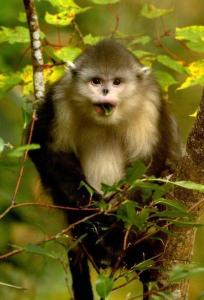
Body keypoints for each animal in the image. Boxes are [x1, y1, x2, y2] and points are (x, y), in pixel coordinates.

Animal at [28, 39, 180, 300]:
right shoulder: (59, 98)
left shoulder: (151, 104)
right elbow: (44, 149)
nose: (105, 92)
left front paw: (114, 233)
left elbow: (150, 164)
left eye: (117, 82)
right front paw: (90, 209)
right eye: (96, 81)